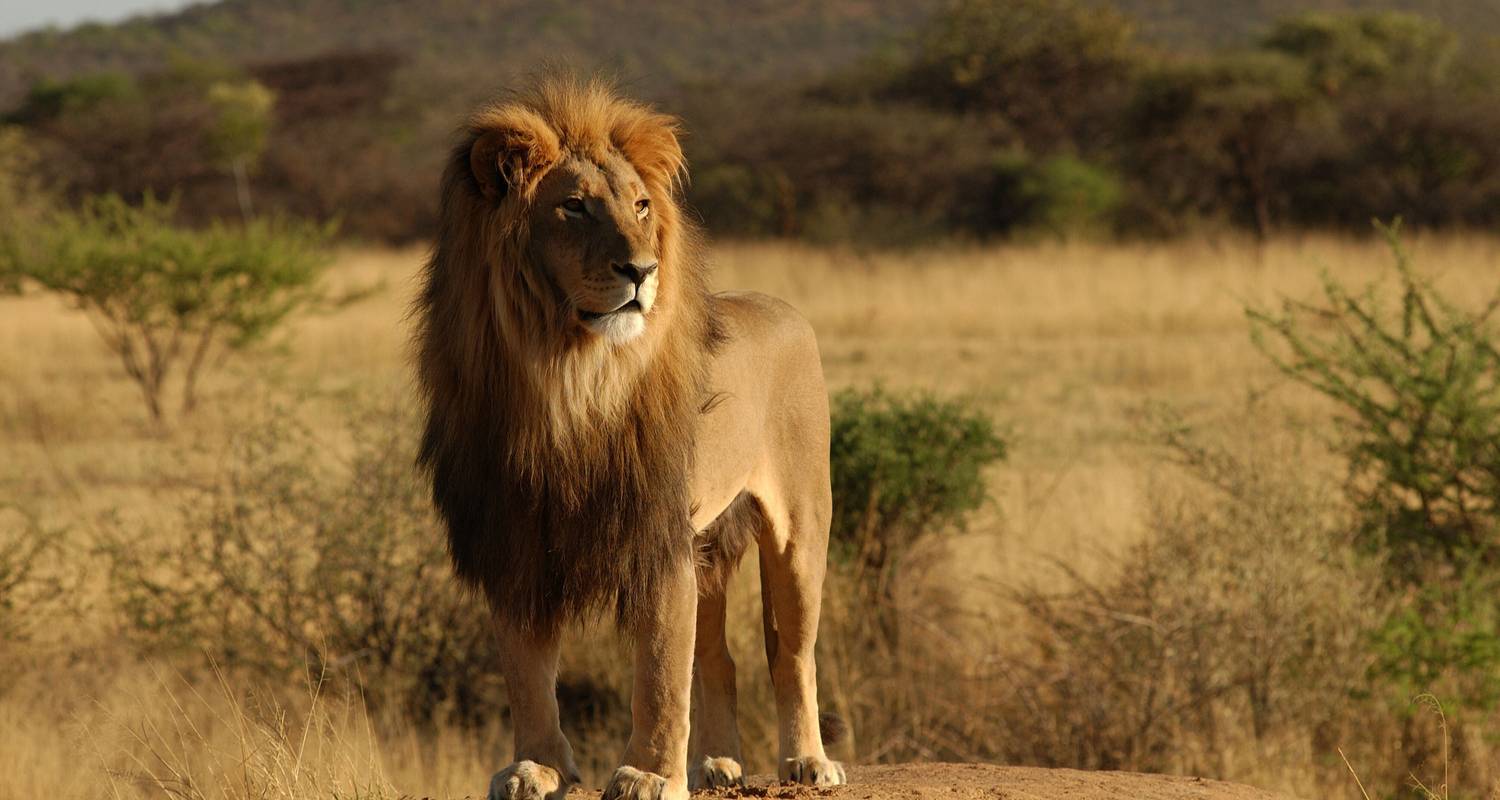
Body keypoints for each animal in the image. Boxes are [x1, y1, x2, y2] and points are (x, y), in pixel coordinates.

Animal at [417, 76, 852, 798]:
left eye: (641, 206)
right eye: (572, 208)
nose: (642, 270)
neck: (566, 378)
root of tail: (783, 307)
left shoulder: (656, 535)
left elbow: (659, 673)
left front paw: (649, 773)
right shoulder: (514, 537)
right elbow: (527, 672)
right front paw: (537, 766)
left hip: (799, 525)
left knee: (791, 651)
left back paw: (808, 761)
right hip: (709, 544)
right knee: (720, 658)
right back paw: (715, 765)